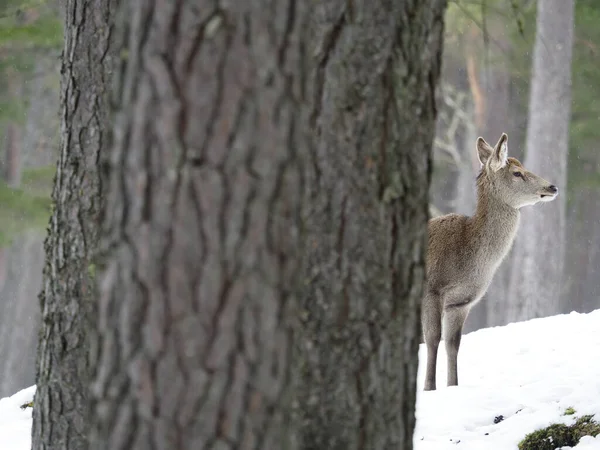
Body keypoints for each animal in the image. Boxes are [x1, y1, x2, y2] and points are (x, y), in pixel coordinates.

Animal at [422, 133, 556, 390]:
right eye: (517, 172)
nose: (552, 187)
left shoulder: (461, 302)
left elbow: (453, 344)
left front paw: (452, 386)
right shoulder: (432, 290)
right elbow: (432, 340)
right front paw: (428, 388)